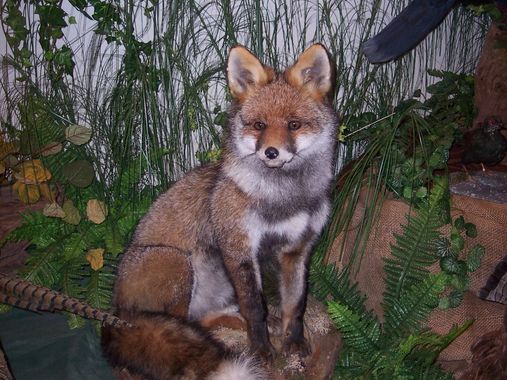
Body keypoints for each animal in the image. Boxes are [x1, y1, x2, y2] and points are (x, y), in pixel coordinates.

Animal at [101, 43, 340, 378]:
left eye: (293, 125)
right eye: (259, 125)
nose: (271, 152)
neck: (283, 200)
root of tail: (114, 310)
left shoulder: (296, 249)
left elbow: (295, 306)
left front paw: (293, 344)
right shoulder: (238, 247)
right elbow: (254, 307)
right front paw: (261, 351)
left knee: (199, 319)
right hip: (176, 261)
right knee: (183, 323)